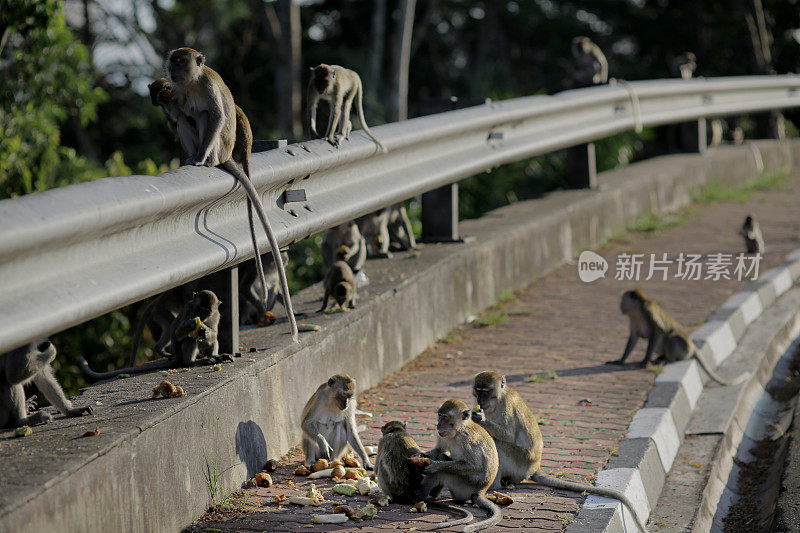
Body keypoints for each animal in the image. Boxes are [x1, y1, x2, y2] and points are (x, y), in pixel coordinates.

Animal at [418, 400, 500, 532]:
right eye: (440, 415)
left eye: (446, 416)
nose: (438, 424)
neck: (458, 431)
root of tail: (482, 490)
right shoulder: (442, 435)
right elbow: (439, 450)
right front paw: (421, 455)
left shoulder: (467, 440)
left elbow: (475, 466)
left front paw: (435, 466)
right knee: (441, 455)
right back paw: (432, 495)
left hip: (464, 487)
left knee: (443, 467)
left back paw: (421, 495)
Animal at [468, 372, 648, 532]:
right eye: (478, 390)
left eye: (487, 391)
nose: (480, 400)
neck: (498, 399)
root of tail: (534, 467)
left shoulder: (506, 407)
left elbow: (508, 435)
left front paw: (481, 419)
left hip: (519, 462)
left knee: (497, 443)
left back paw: (493, 487)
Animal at [608, 288, 752, 384]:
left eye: (622, 299)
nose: (620, 305)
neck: (637, 310)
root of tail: (692, 347)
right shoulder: (633, 319)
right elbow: (633, 337)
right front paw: (620, 360)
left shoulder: (648, 312)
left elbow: (658, 331)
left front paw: (645, 360)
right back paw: (662, 357)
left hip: (684, 348)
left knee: (670, 337)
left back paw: (668, 359)